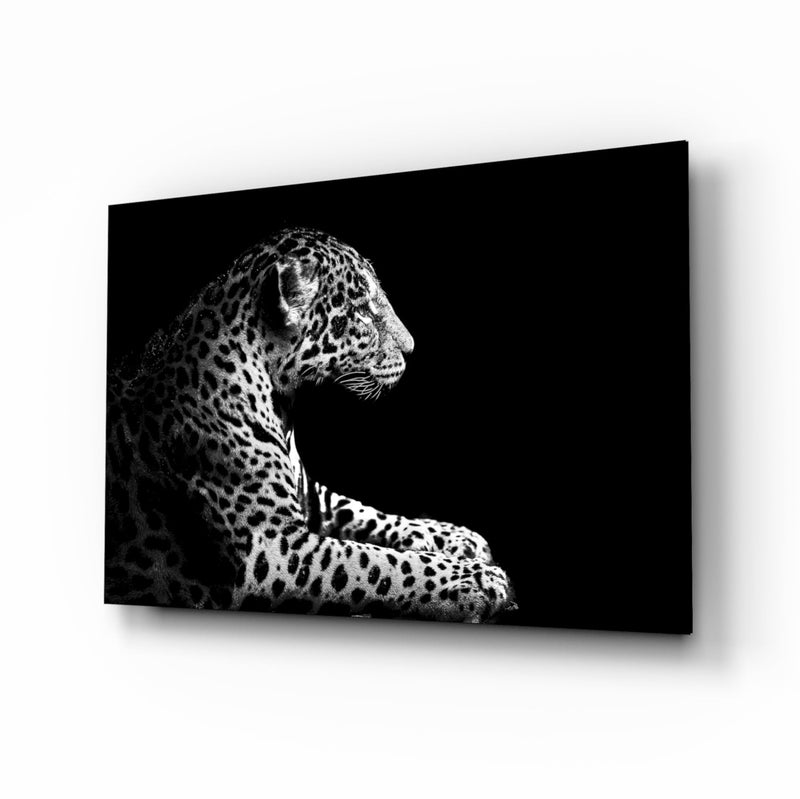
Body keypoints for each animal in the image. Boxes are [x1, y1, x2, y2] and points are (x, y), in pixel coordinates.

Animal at [105, 227, 516, 623]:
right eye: (361, 312)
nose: (412, 348)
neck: (282, 403)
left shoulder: (311, 497)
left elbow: (366, 513)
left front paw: (456, 536)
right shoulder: (272, 548)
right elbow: (377, 562)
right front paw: (477, 579)